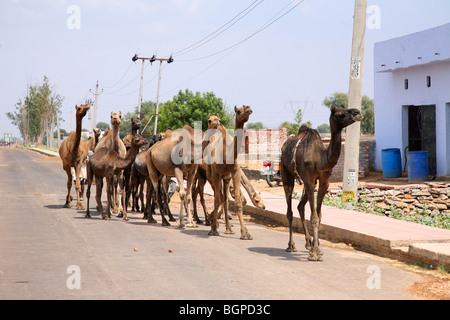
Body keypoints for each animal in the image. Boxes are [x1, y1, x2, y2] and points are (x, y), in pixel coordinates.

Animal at [205, 106, 253, 239]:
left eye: (247, 107)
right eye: (238, 110)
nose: (248, 109)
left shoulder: (235, 173)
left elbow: (237, 202)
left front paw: (245, 233)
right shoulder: (216, 175)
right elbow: (216, 199)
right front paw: (213, 229)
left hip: (226, 179)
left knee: (225, 198)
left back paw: (228, 228)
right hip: (211, 177)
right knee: (218, 196)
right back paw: (213, 222)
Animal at [280, 106, 364, 262]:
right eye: (340, 114)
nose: (358, 113)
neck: (320, 160)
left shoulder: (324, 181)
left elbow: (319, 216)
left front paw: (316, 246)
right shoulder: (308, 179)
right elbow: (314, 217)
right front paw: (315, 253)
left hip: (310, 184)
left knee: (300, 206)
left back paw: (308, 243)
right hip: (285, 172)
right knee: (289, 210)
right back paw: (291, 245)